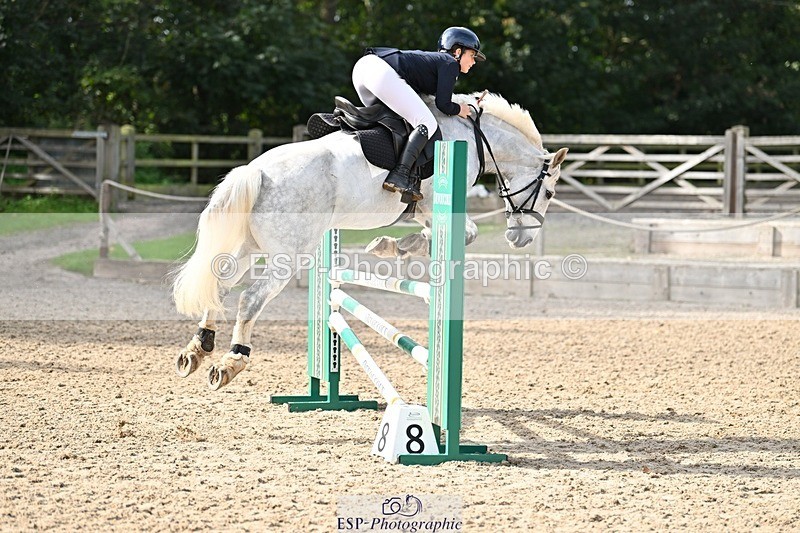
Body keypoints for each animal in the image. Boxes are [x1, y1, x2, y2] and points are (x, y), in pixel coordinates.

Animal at [172, 92, 568, 390]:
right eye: (549, 192)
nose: (521, 238)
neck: (474, 136)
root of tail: (256, 171)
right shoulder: (430, 201)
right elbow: (463, 233)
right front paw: (394, 246)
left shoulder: (421, 207)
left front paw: (388, 245)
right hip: (289, 255)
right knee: (250, 298)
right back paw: (231, 361)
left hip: (249, 247)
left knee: (221, 284)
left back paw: (197, 349)